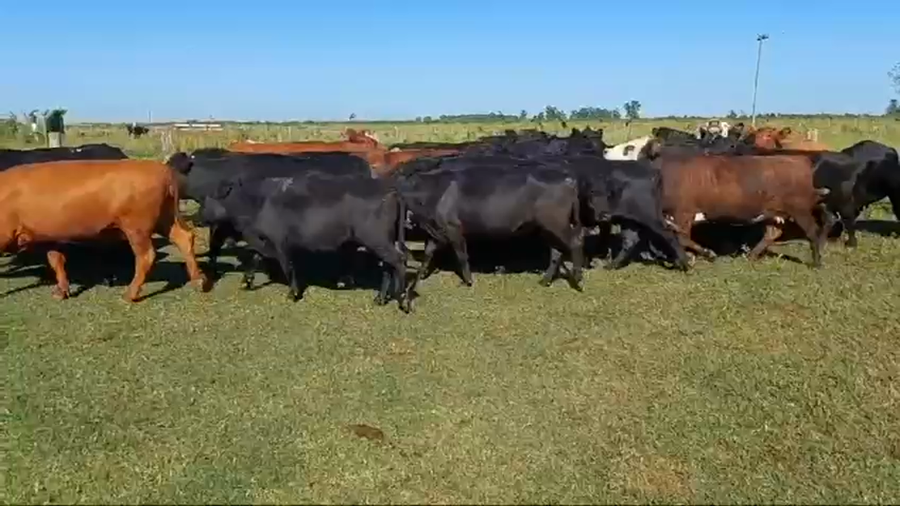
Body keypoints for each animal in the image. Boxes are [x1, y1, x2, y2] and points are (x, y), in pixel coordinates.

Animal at [0, 159, 208, 301]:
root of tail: (163, 169)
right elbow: (56, 259)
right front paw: (61, 291)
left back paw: (130, 294)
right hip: (164, 218)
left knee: (146, 255)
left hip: (136, 226)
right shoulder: (51, 235)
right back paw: (199, 281)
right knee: (184, 238)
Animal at [200, 170, 408, 311]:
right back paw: (380, 299)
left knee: (399, 261)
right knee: (388, 266)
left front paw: (292, 294)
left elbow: (288, 267)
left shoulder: (281, 244)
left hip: (377, 241)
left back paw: (402, 300)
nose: (198, 217)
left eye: (212, 195)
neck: (258, 202)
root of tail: (391, 190)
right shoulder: (264, 241)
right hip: (381, 243)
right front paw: (246, 282)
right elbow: (255, 258)